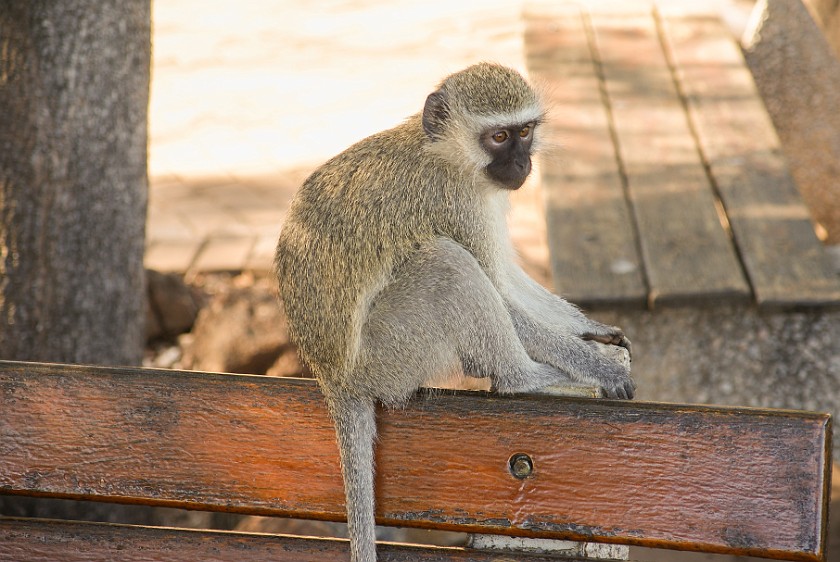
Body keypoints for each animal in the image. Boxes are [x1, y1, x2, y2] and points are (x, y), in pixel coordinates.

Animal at [276, 62, 632, 560]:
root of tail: (333, 377)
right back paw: (523, 379)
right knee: (448, 263)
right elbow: (499, 291)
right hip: (390, 354)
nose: (521, 165)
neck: (445, 155)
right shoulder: (454, 201)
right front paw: (598, 367)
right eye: (499, 137)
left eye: (524, 131)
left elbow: (508, 279)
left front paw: (592, 331)